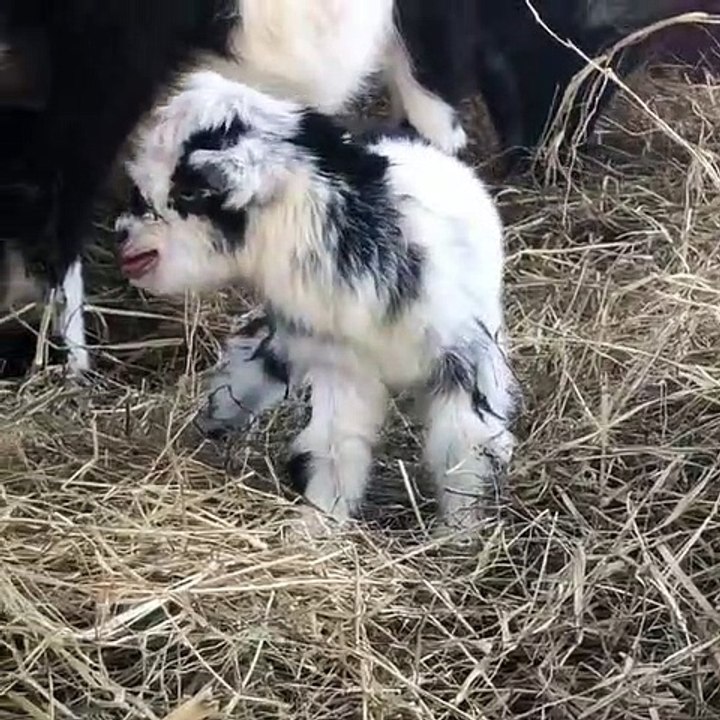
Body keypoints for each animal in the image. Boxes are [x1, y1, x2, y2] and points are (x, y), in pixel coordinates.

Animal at [115, 71, 518, 534]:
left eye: (191, 191)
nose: (122, 234)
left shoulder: (465, 359)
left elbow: (462, 450)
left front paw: (460, 535)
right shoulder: (340, 366)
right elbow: (333, 448)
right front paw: (316, 528)